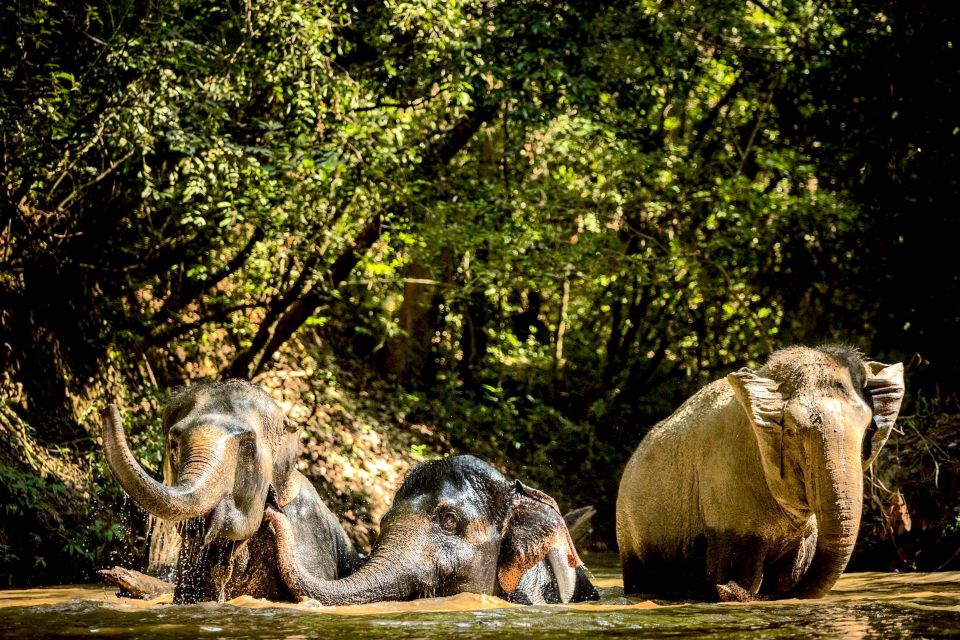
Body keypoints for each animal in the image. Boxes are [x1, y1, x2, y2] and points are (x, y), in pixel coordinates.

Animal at [620, 344, 904, 600]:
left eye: (867, 430)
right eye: (791, 432)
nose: (726, 589)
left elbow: (790, 575)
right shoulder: (725, 484)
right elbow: (739, 571)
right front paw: (729, 587)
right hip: (630, 533)